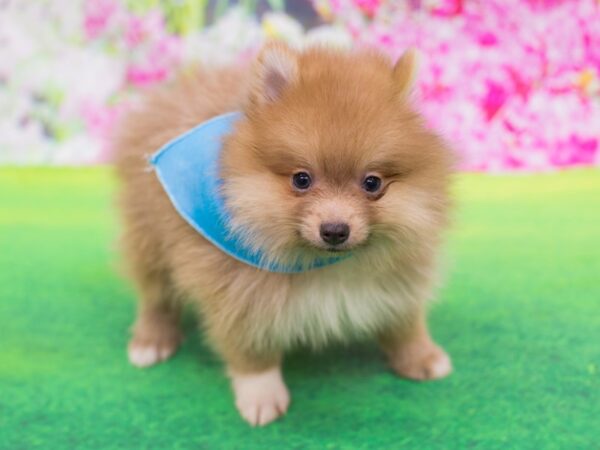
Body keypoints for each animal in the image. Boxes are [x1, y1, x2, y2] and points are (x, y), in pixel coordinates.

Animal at [113, 44, 454, 428]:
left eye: (372, 183)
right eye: (301, 179)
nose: (335, 229)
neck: (321, 265)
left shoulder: (399, 276)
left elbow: (404, 320)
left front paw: (420, 356)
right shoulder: (237, 291)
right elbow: (251, 350)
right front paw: (261, 394)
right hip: (150, 237)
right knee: (156, 295)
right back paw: (151, 340)